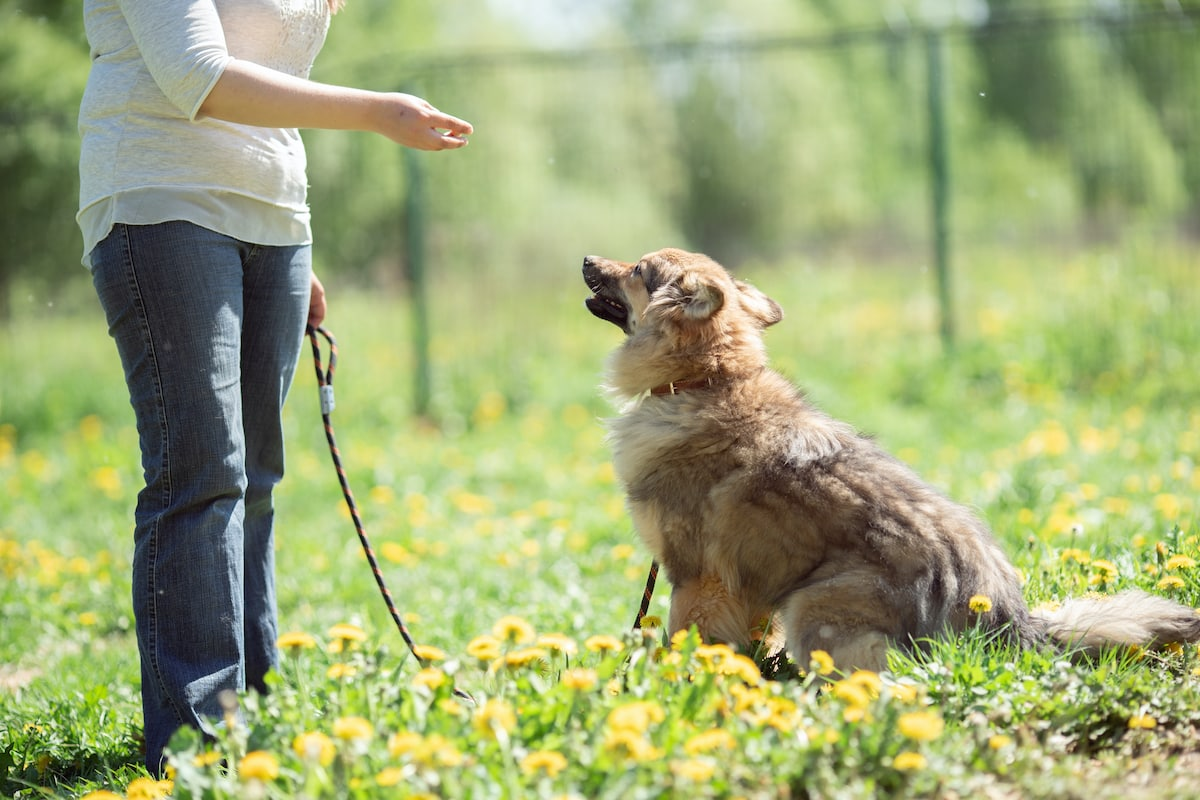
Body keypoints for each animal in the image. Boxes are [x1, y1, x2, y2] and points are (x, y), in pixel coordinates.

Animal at [583, 247, 1200, 671]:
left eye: (638, 268)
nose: (587, 258)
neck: (704, 381)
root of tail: (1008, 624)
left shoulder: (695, 578)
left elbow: (682, 640)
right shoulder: (746, 586)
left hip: (814, 605)